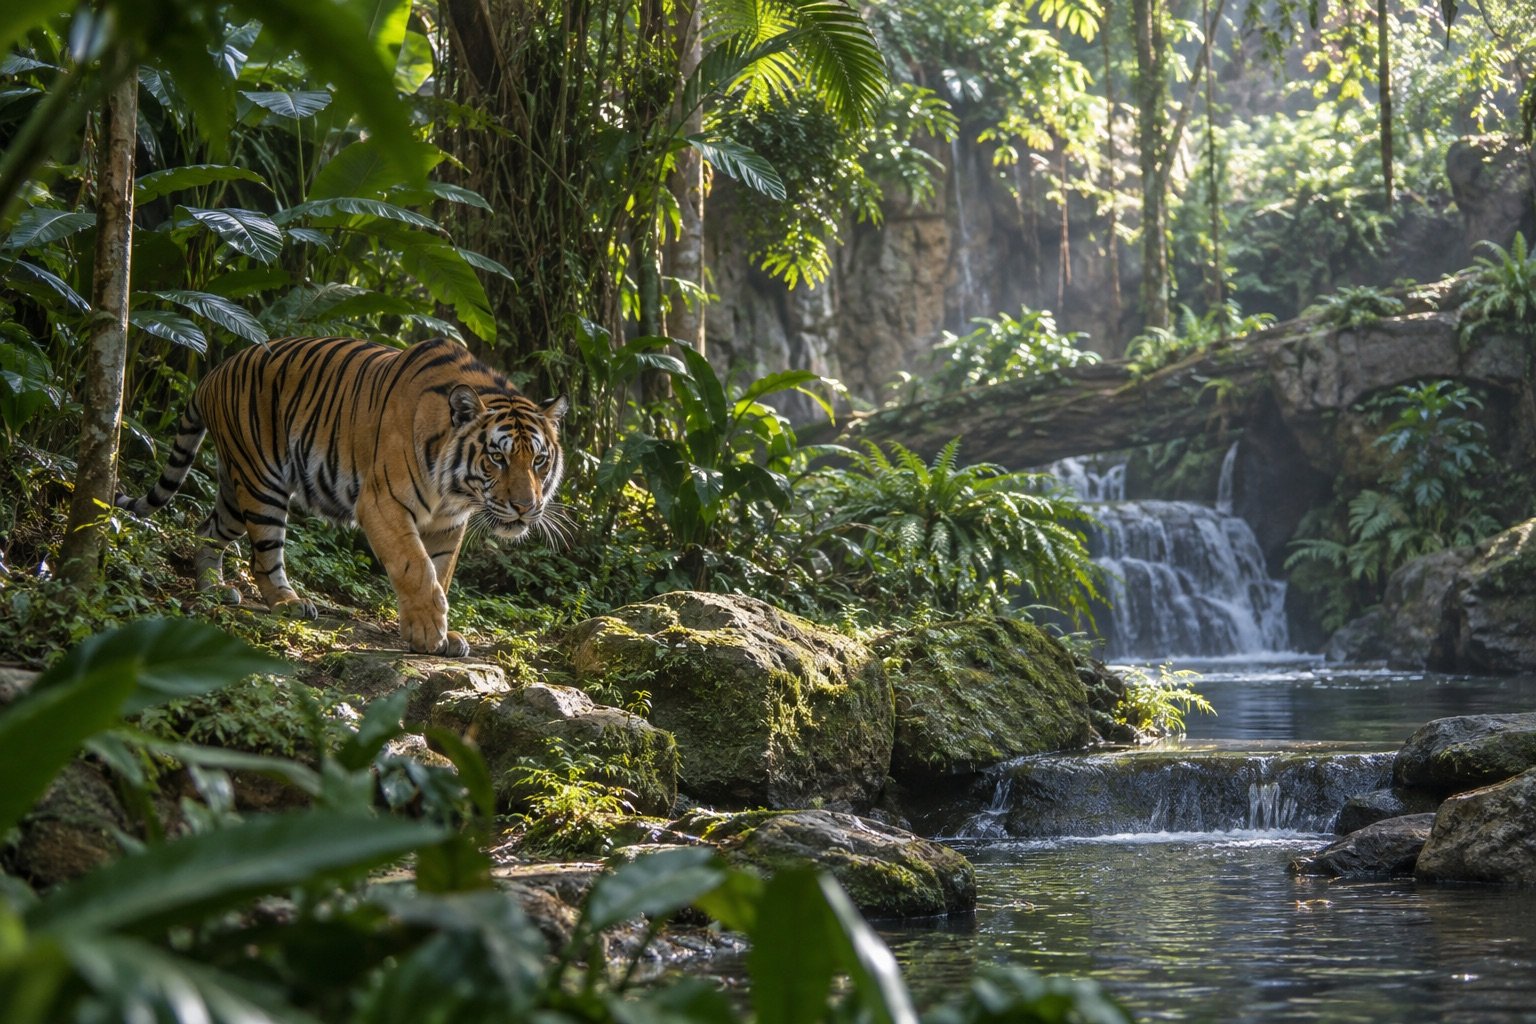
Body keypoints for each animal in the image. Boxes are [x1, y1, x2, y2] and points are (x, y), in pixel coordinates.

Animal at [116, 335, 568, 657]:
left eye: (539, 460)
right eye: (497, 457)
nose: (525, 507)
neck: (454, 490)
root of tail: (214, 371)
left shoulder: (447, 523)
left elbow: (440, 572)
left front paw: (438, 634)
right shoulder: (383, 503)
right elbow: (416, 568)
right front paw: (428, 632)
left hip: (234, 487)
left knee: (207, 529)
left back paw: (214, 588)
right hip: (262, 483)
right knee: (263, 558)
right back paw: (288, 602)